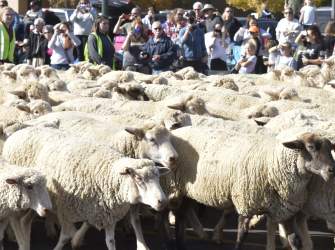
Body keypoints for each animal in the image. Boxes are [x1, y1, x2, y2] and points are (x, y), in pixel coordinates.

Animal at [1, 127, 171, 250]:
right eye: (139, 179)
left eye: (158, 177)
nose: (162, 202)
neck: (106, 172)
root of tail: (20, 131)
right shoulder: (65, 210)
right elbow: (66, 237)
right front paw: (70, 242)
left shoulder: (105, 213)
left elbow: (110, 241)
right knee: (19, 220)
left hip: (39, 203)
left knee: (25, 221)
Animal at [167, 128, 335, 249]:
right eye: (311, 147)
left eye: (330, 149)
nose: (332, 169)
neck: (272, 163)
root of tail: (175, 132)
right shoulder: (245, 203)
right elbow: (241, 235)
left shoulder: (286, 211)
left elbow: (294, 240)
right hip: (176, 187)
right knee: (180, 213)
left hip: (187, 190)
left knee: (182, 214)